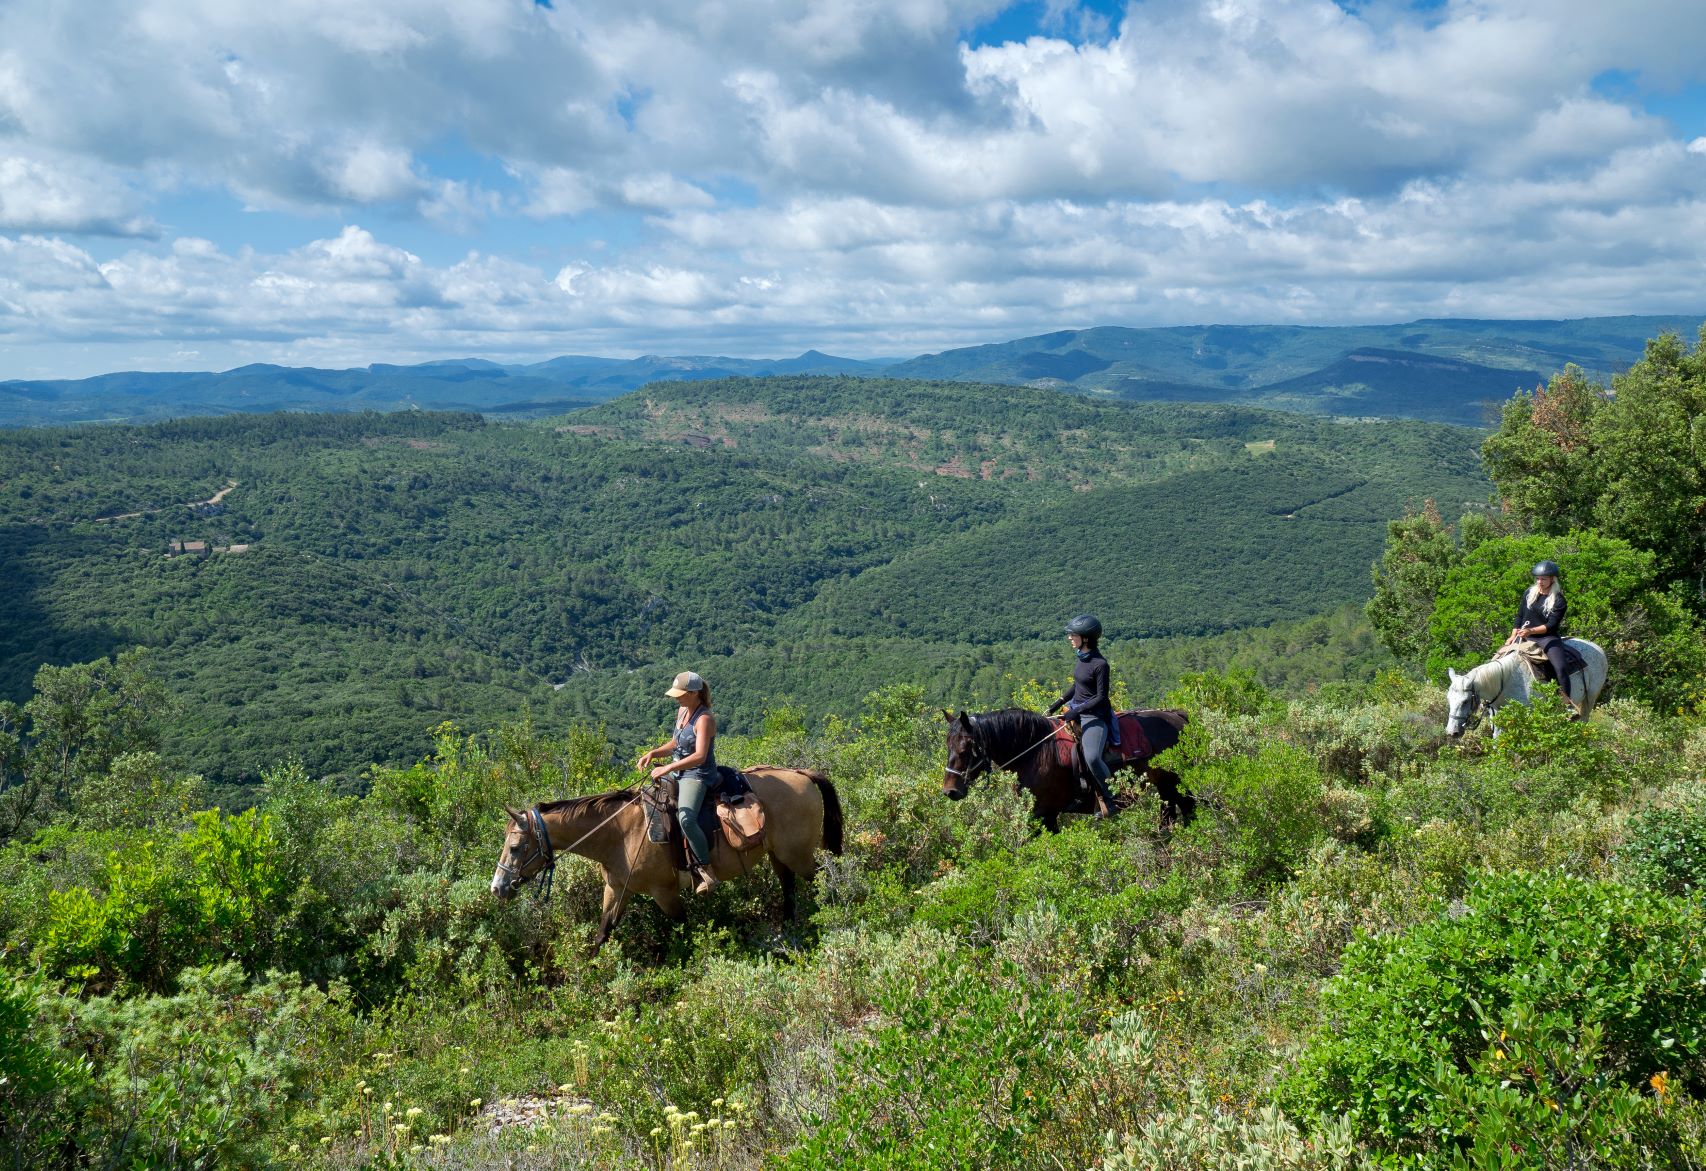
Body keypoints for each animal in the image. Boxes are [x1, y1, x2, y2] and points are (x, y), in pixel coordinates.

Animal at [491, 771, 842, 955]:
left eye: (515, 847)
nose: (497, 888)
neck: (621, 833)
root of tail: (802, 774)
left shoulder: (665, 892)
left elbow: (684, 927)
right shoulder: (616, 889)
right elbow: (603, 932)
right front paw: (590, 973)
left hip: (798, 854)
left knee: (823, 880)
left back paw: (833, 916)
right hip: (779, 855)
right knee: (789, 888)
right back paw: (788, 931)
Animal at [941, 706, 1194, 836]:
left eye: (966, 748)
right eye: (948, 745)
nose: (950, 791)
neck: (1036, 751)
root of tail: (1179, 717)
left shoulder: (1043, 813)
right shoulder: (1047, 815)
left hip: (1174, 786)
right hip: (1165, 790)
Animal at [1446, 638, 1603, 737]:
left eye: (1465, 701)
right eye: (1448, 700)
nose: (1452, 732)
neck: (1506, 682)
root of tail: (1598, 649)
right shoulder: (1498, 719)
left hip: (1589, 699)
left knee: (1584, 721)